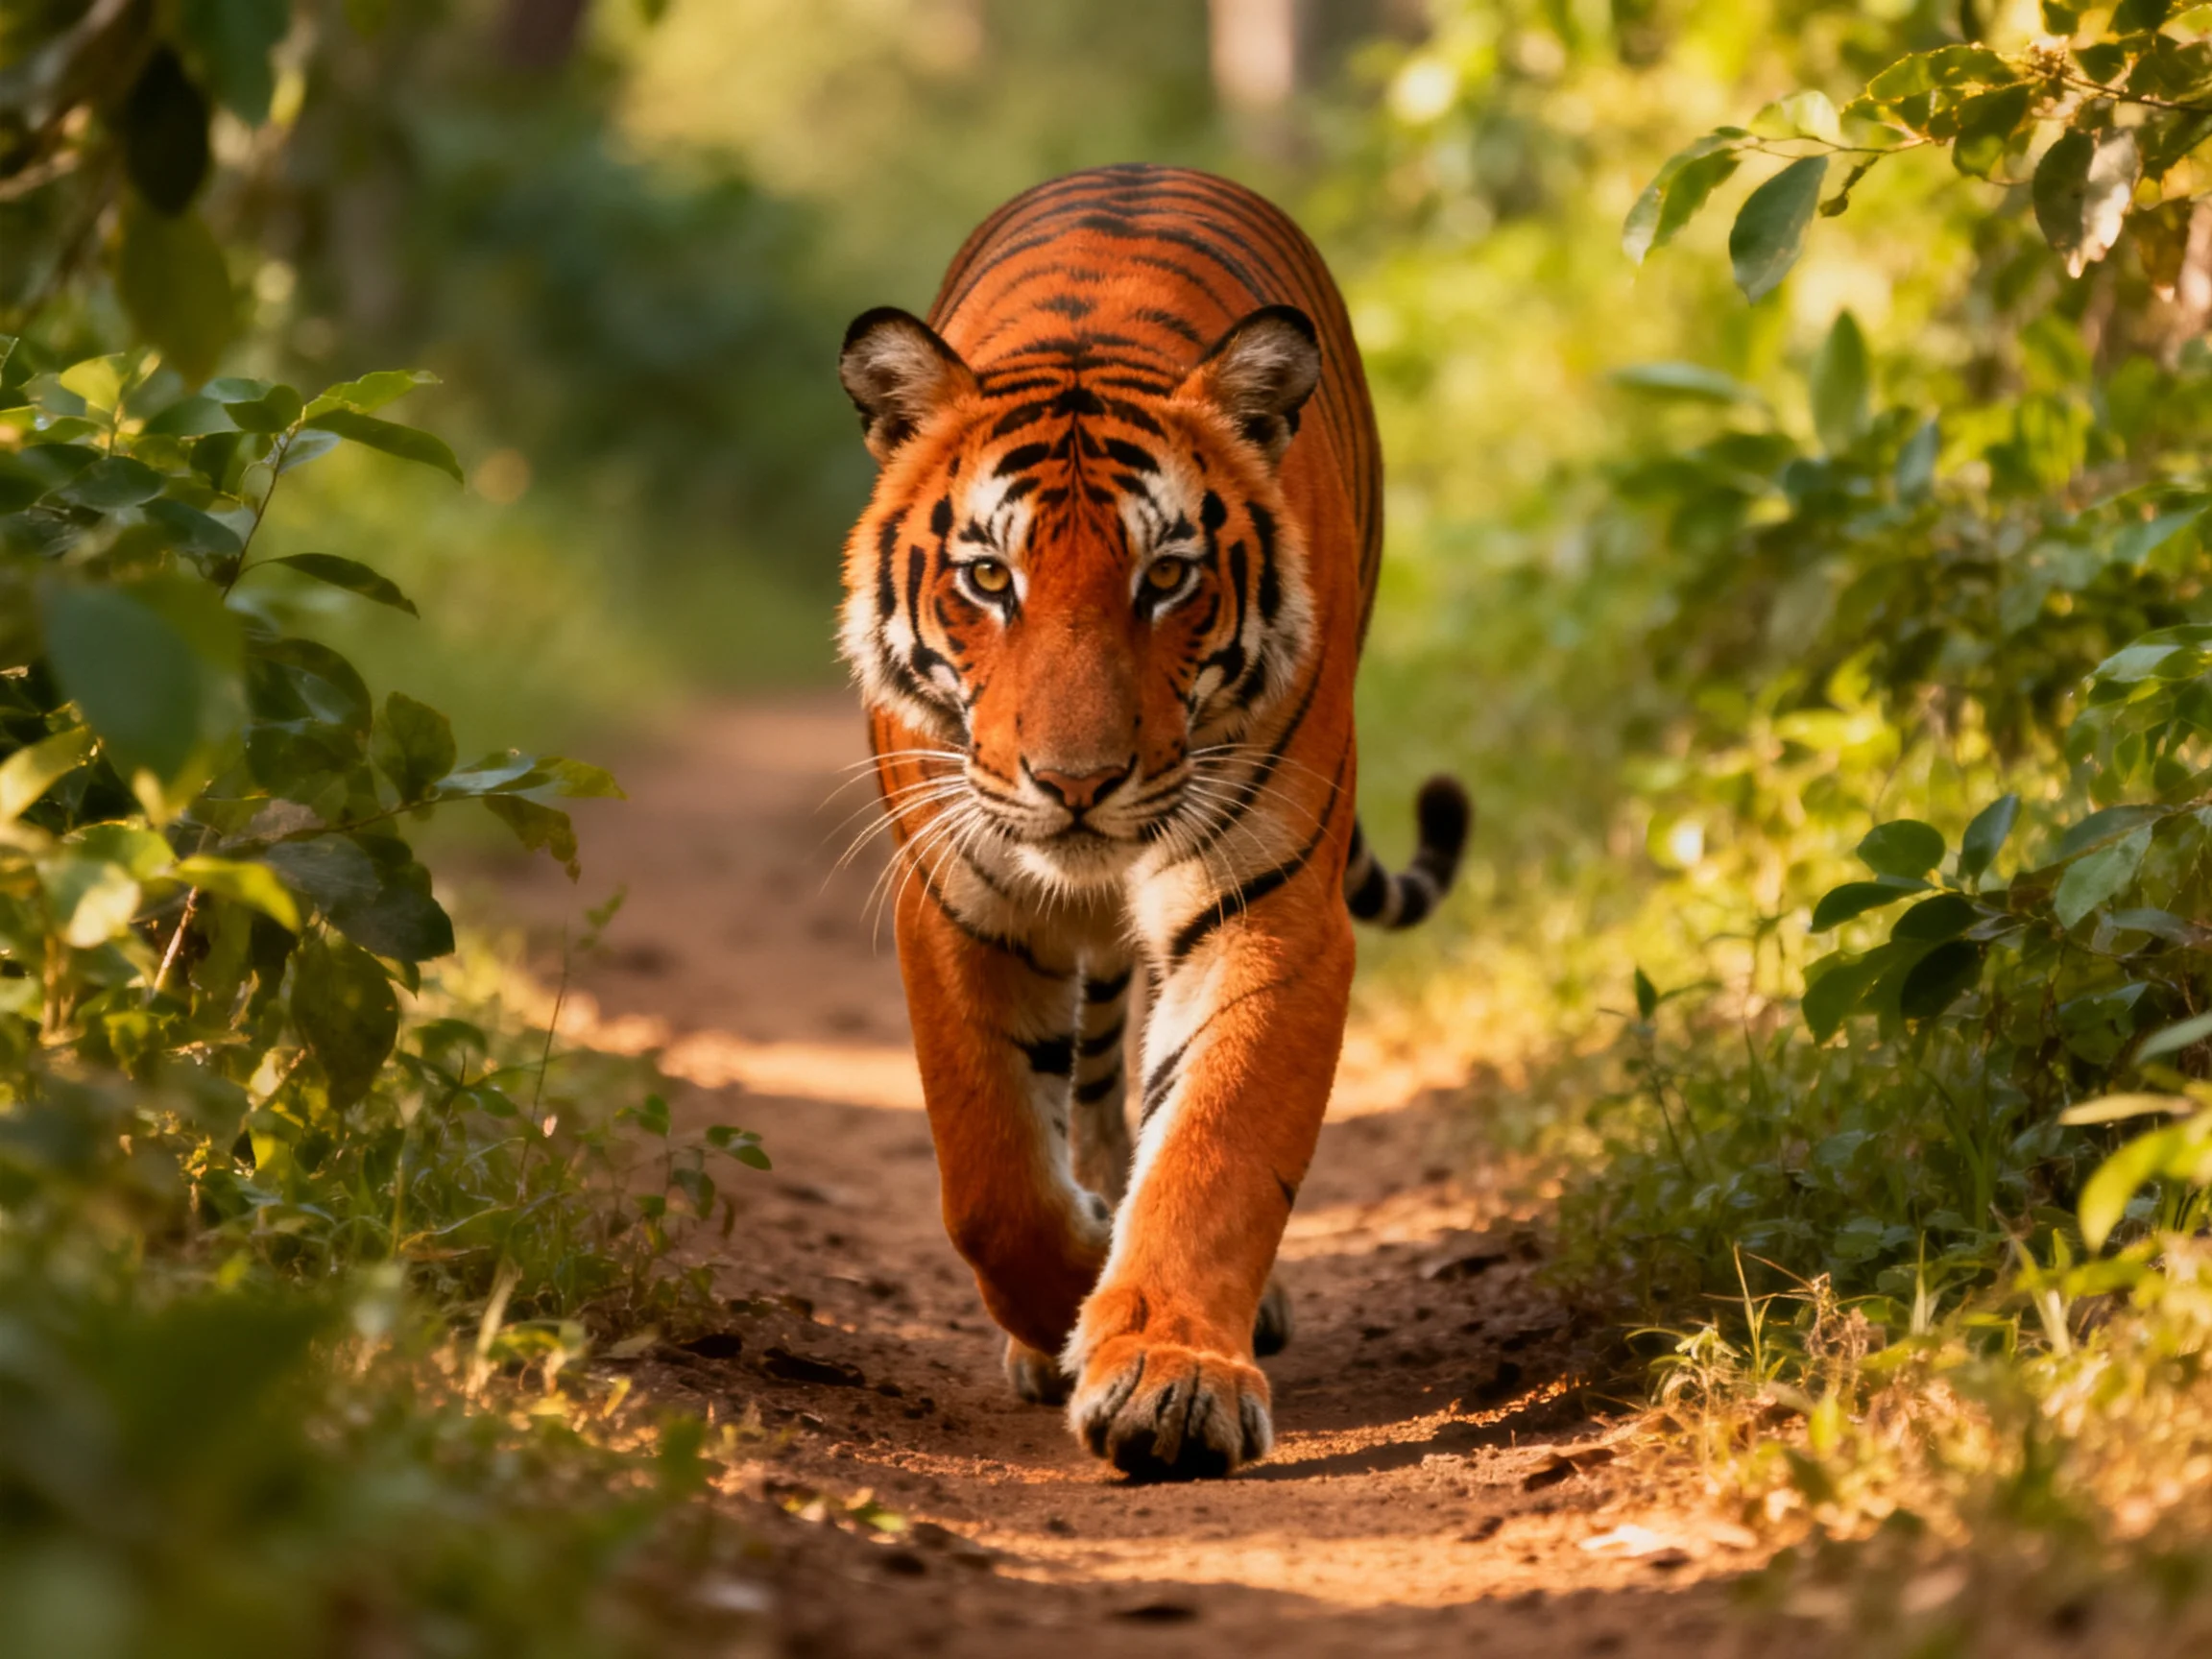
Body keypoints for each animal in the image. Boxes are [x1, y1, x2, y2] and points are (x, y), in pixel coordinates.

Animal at [837, 163, 1469, 1480]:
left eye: (1166, 577)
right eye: (989, 578)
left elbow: (1215, 1143)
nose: (1076, 782)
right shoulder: (959, 898)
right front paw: (1074, 1290)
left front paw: (1168, 1370)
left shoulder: (1267, 906)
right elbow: (991, 1179)